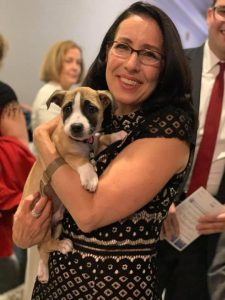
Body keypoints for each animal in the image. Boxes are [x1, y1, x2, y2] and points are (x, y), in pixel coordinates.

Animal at [21, 86, 118, 284]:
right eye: (67, 109)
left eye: (91, 108)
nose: (76, 127)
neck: (83, 143)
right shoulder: (64, 155)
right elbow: (82, 161)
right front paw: (90, 177)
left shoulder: (95, 144)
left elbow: (102, 138)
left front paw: (119, 134)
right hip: (45, 223)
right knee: (45, 245)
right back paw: (62, 246)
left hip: (57, 224)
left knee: (43, 248)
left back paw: (43, 271)